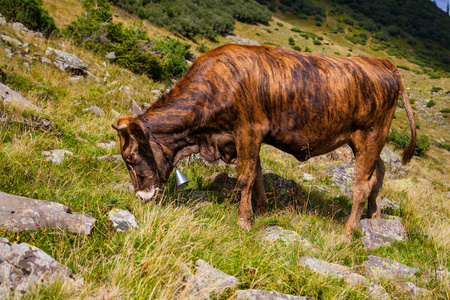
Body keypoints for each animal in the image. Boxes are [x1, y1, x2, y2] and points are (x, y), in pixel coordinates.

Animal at [111, 44, 414, 234]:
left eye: (130, 157)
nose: (141, 195)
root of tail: (381, 62)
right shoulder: (244, 138)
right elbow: (257, 172)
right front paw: (264, 210)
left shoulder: (248, 130)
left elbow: (245, 176)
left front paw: (244, 220)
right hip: (365, 141)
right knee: (380, 172)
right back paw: (375, 219)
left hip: (370, 135)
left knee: (361, 185)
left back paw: (349, 232)